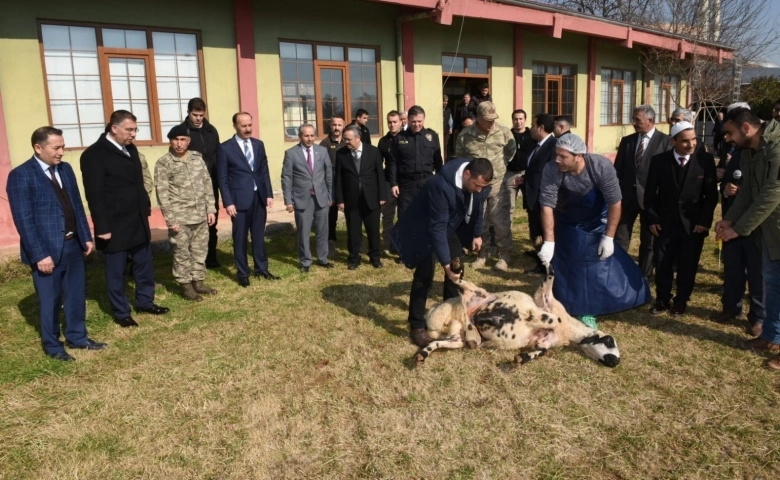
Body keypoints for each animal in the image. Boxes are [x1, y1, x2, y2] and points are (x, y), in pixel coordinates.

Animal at [414, 266, 620, 368]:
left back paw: (423, 355)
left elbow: (541, 350)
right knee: (457, 280)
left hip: (457, 339)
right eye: (610, 340)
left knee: (437, 343)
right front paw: (546, 255)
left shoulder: (544, 341)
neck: (567, 331)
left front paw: (522, 358)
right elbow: (550, 283)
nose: (615, 362)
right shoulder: (543, 299)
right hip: (474, 291)